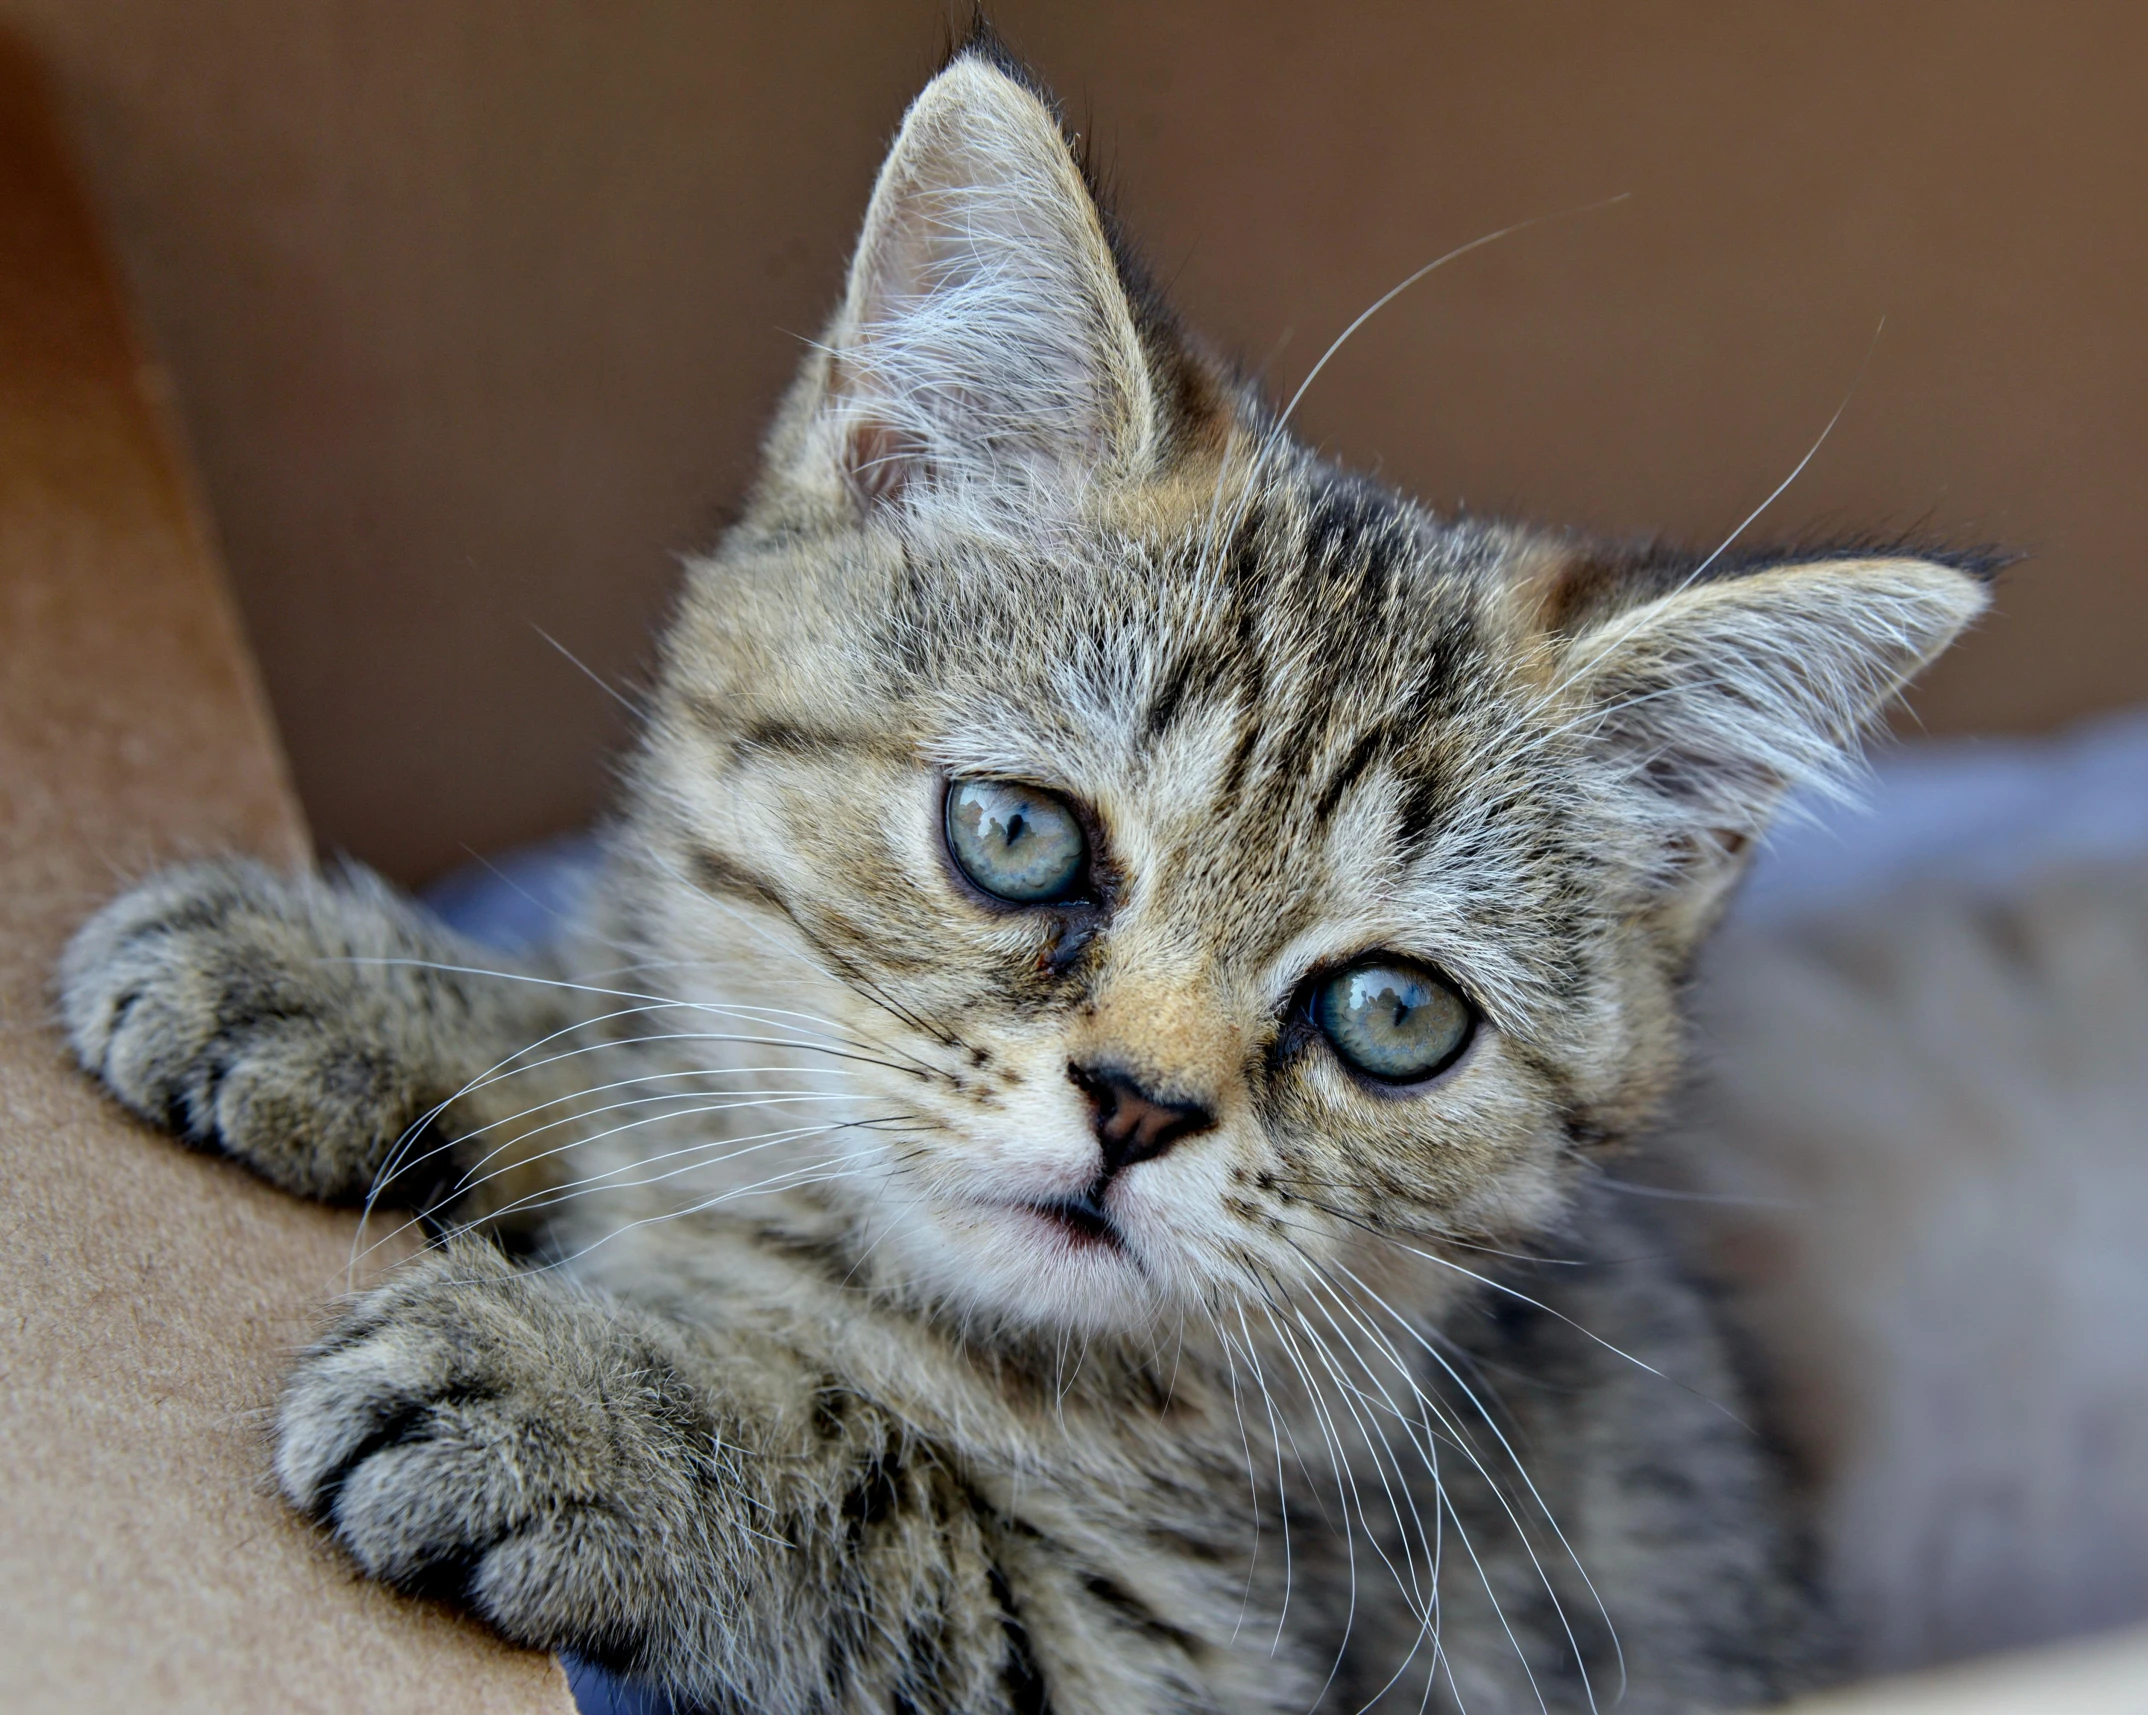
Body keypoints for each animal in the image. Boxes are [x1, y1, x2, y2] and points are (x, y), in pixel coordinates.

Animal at [58, 37, 1984, 1715]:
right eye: (1017, 834)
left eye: (1392, 1017)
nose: (1137, 1104)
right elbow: (651, 1037)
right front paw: (340, 986)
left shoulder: (1207, 1654)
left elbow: (892, 1490)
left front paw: (579, 1408)